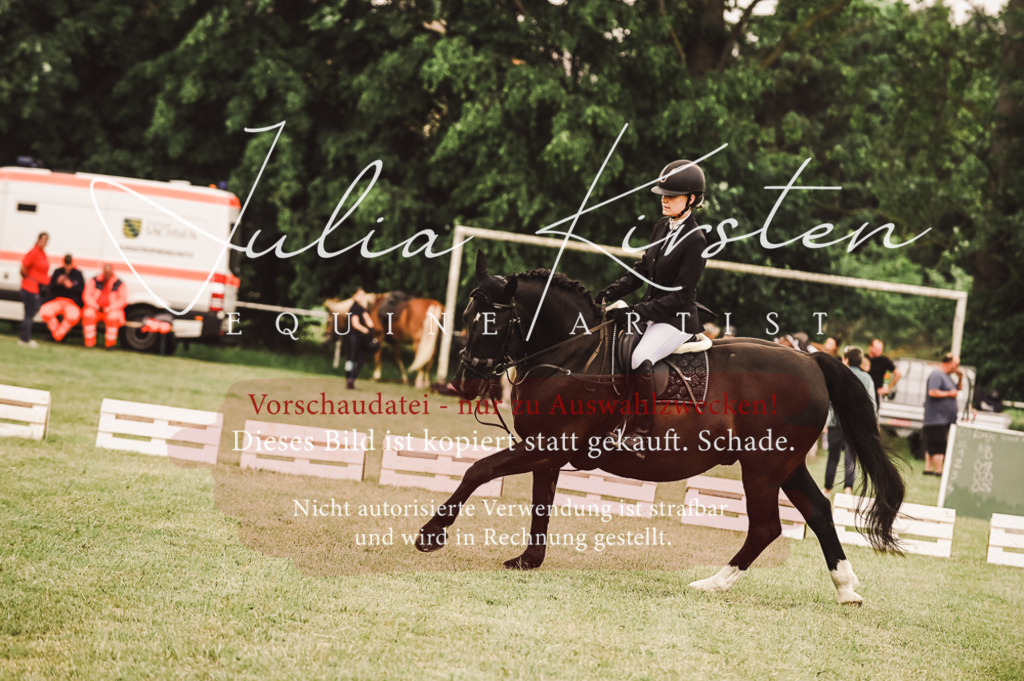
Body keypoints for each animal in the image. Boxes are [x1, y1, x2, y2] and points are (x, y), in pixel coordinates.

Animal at [415, 251, 905, 605]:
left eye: (492, 321)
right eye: (467, 314)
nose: (465, 382)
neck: (572, 355)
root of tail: (811, 360)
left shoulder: (548, 443)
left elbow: (477, 470)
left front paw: (431, 534)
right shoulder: (547, 449)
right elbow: (541, 503)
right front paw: (529, 559)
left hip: (763, 467)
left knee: (767, 527)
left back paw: (713, 583)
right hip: (785, 464)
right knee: (819, 511)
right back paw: (845, 588)